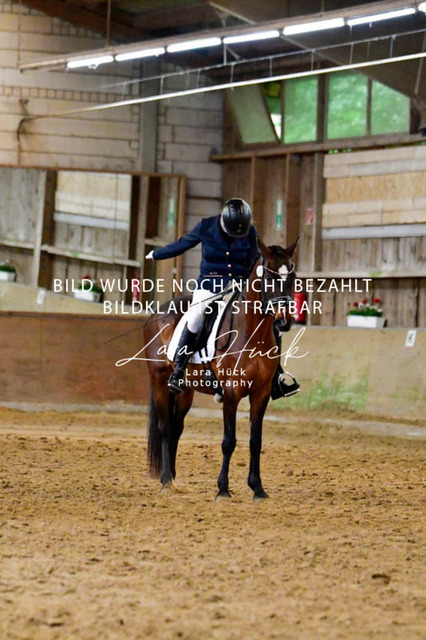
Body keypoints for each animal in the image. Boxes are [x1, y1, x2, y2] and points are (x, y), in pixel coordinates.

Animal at [144, 237, 298, 501]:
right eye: (269, 276)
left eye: (293, 277)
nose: (284, 321)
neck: (252, 331)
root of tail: (157, 313)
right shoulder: (231, 393)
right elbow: (229, 441)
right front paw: (223, 490)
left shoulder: (261, 394)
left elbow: (255, 441)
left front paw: (258, 489)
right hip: (160, 383)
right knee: (165, 428)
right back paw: (165, 481)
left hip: (185, 391)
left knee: (176, 428)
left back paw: (172, 478)